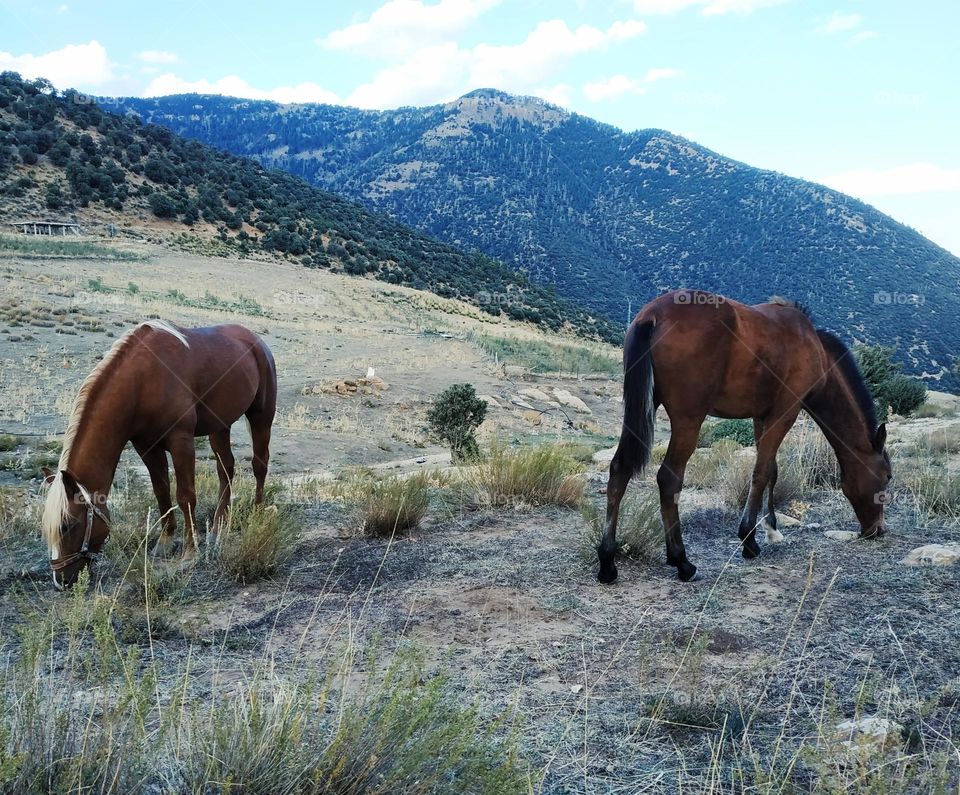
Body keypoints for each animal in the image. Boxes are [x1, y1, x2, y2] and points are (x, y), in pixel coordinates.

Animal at [41, 320, 278, 588]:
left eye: (67, 525)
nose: (60, 581)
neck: (142, 383)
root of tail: (256, 341)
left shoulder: (181, 441)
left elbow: (185, 496)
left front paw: (190, 551)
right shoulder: (146, 446)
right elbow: (161, 492)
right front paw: (165, 542)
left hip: (261, 417)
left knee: (259, 465)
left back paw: (257, 512)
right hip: (220, 426)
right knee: (225, 469)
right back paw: (218, 526)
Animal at [600, 292, 892, 584]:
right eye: (888, 477)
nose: (878, 529)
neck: (815, 350)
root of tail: (652, 315)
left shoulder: (761, 417)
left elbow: (771, 470)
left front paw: (771, 528)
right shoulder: (785, 413)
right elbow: (761, 473)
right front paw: (749, 540)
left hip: (642, 409)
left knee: (620, 469)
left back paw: (607, 562)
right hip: (688, 421)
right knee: (668, 479)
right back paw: (681, 561)